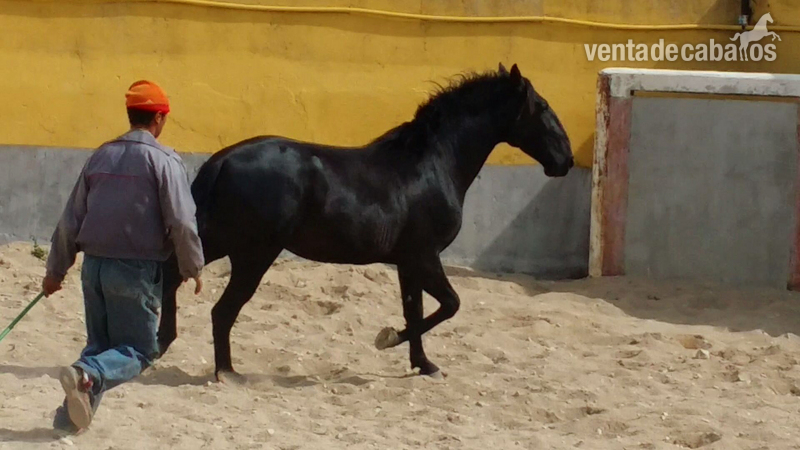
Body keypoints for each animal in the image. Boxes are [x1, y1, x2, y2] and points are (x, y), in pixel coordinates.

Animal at [156, 63, 574, 382]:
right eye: (541, 106)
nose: (566, 160)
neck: (431, 165)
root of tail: (222, 161)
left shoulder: (408, 262)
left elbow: (416, 309)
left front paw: (423, 365)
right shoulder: (424, 256)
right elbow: (450, 304)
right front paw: (387, 339)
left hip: (224, 242)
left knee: (175, 276)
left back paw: (164, 344)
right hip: (250, 252)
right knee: (219, 307)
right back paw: (226, 372)